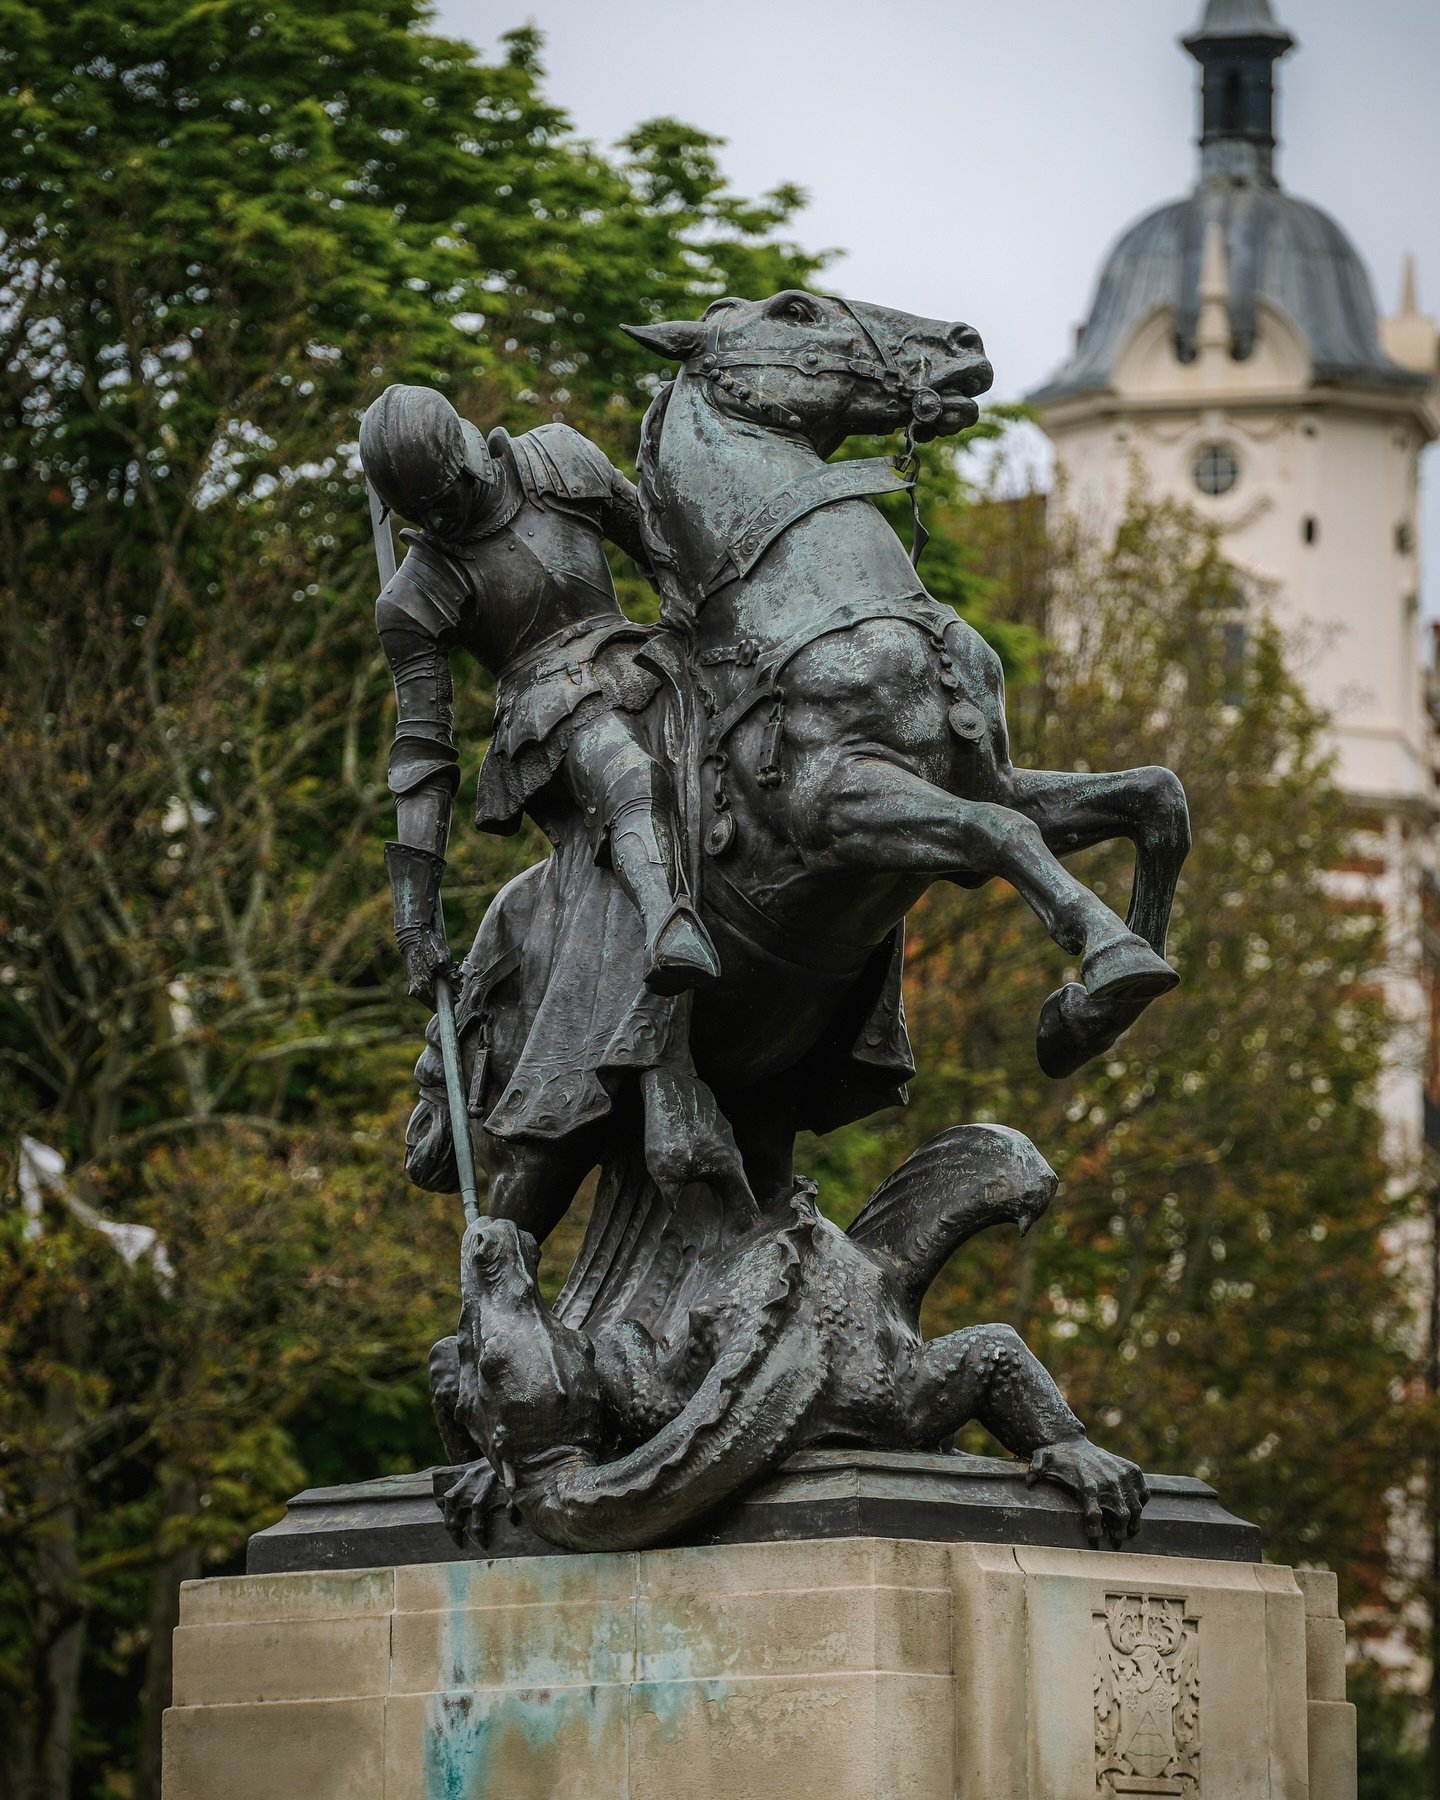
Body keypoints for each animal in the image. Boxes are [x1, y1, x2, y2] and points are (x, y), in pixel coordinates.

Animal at [622, 291, 1188, 1195]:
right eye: (796, 310)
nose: (965, 340)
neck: (824, 603)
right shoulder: (837, 803)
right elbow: (1002, 834)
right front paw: (1115, 959)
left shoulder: (986, 773)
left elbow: (1156, 796)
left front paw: (1082, 1019)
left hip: (763, 1088)